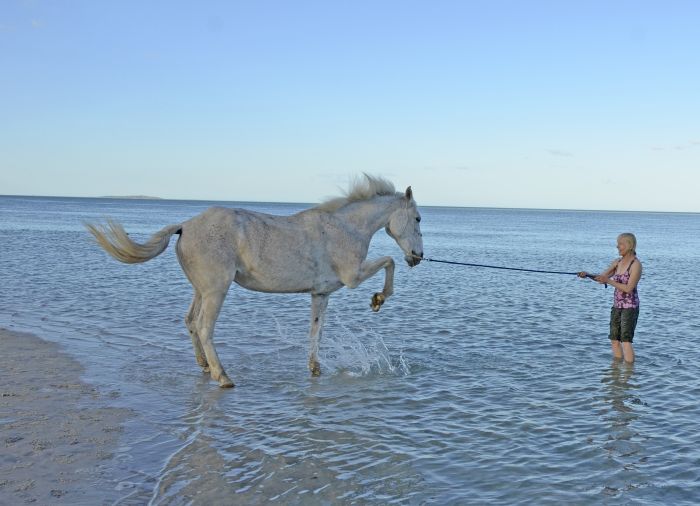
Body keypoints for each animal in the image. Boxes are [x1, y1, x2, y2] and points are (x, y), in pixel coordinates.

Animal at [87, 174, 426, 388]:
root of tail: (185, 226)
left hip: (201, 290)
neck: (344, 227)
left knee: (190, 322)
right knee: (205, 327)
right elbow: (389, 262)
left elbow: (315, 333)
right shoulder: (353, 276)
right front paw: (378, 299)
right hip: (217, 290)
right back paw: (222, 377)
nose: (418, 256)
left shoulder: (321, 294)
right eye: (419, 218)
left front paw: (315, 369)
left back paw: (205, 367)